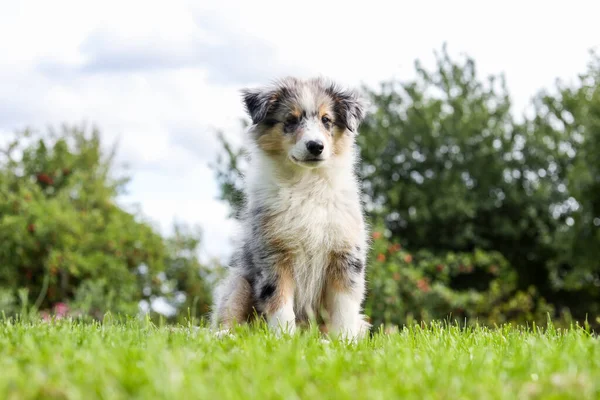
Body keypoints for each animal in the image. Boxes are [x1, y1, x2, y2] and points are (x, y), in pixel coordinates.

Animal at [211, 76, 370, 340]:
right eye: (291, 120)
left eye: (326, 120)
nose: (315, 146)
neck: (307, 183)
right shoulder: (273, 255)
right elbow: (279, 303)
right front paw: (285, 340)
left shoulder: (345, 255)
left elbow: (344, 307)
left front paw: (342, 341)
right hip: (239, 283)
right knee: (228, 318)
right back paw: (225, 335)